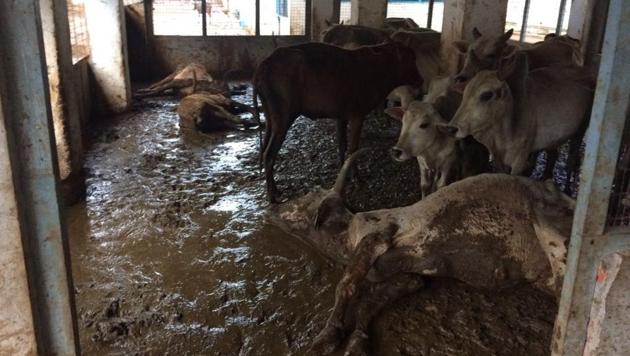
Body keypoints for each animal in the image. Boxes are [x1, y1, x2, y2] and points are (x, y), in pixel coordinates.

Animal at [254, 41, 422, 203]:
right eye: (411, 58)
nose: (420, 81)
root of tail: (264, 65)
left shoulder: (341, 116)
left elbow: (342, 145)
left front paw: (343, 174)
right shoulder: (357, 115)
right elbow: (353, 148)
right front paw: (357, 178)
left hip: (271, 120)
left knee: (264, 149)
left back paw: (274, 189)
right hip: (283, 117)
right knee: (269, 154)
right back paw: (272, 196)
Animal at [268, 152, 576, 356]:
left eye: (300, 205)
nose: (270, 210)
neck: (347, 237)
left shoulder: (378, 236)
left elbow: (346, 285)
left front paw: (327, 336)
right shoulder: (408, 275)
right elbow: (373, 299)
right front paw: (357, 342)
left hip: (554, 236)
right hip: (544, 276)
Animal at [446, 52, 596, 175]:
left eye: (487, 95)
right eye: (465, 93)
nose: (452, 128)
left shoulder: (520, 159)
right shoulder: (498, 158)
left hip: (579, 132)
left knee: (570, 162)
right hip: (554, 139)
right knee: (553, 156)